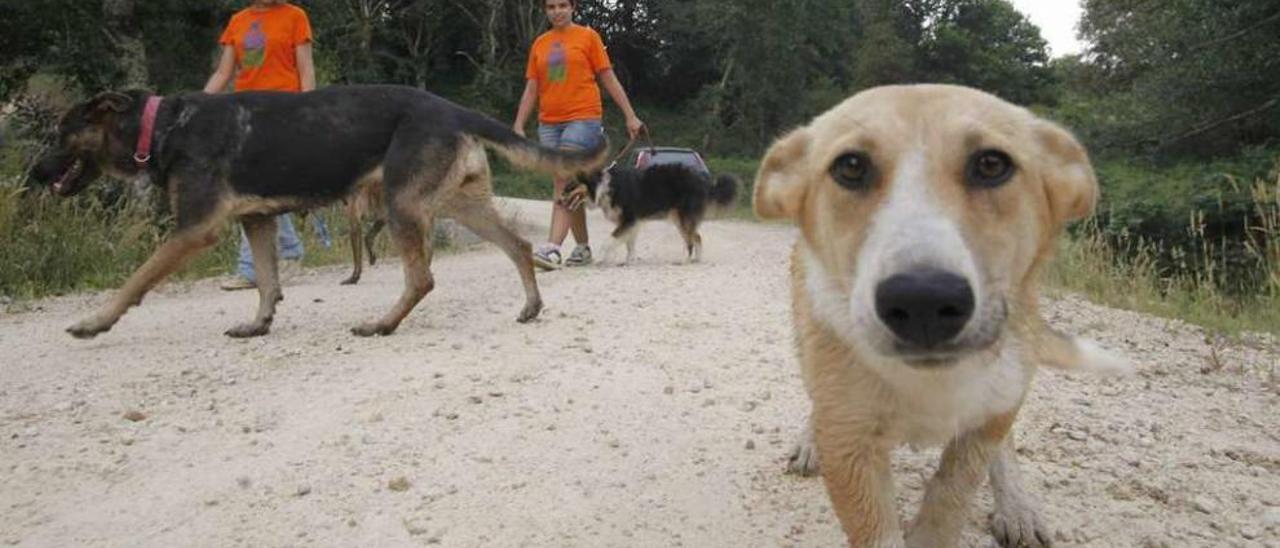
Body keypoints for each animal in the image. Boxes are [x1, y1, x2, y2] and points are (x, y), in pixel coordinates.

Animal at [30, 84, 606, 338]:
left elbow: (134, 280)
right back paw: (531, 306)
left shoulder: (194, 230)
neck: (163, 126)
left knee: (422, 278)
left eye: (61, 133)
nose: (32, 174)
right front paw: (259, 323)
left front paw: (96, 320)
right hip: (457, 203)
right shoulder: (256, 220)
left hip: (402, 204)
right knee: (519, 244)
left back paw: (382, 324)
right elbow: (266, 280)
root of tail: (451, 106)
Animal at [573, 163, 742, 263]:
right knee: (697, 237)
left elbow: (609, 240)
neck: (603, 187)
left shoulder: (629, 219)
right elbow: (629, 243)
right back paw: (697, 259)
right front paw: (629, 260)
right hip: (679, 218)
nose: (563, 199)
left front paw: (601, 258)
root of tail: (704, 182)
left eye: (571, 186)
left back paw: (684, 260)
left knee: (691, 240)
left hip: (682, 218)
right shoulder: (632, 222)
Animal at [747, 83, 1131, 545]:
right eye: (851, 166)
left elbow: (952, 492)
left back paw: (1017, 506)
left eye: (991, 164)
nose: (923, 300)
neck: (934, 381)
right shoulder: (852, 443)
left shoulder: (988, 418)